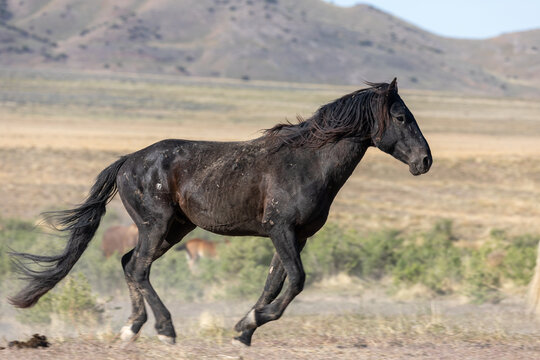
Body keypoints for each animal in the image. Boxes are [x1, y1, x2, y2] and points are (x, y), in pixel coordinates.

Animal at [9, 78, 430, 346]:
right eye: (401, 117)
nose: (425, 161)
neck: (305, 163)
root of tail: (128, 160)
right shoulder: (281, 230)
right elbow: (296, 281)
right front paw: (250, 323)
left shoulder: (296, 237)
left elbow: (273, 284)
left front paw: (243, 330)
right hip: (156, 225)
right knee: (139, 268)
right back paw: (163, 330)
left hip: (174, 230)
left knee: (130, 264)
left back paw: (132, 329)